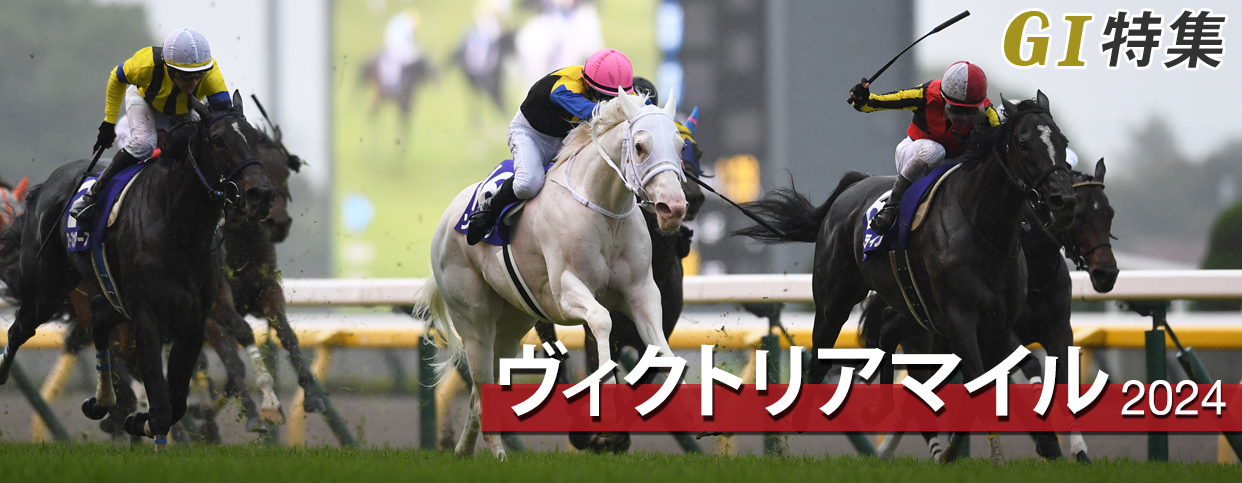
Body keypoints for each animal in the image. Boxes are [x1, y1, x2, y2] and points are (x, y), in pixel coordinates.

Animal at [0, 91, 276, 451]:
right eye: (217, 140)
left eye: (255, 139)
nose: (262, 195)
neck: (179, 229)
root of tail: (45, 186)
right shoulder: (148, 316)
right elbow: (161, 399)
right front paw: (147, 426)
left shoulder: (194, 320)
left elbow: (177, 400)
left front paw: (141, 421)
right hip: (46, 290)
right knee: (19, 330)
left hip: (110, 296)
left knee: (99, 320)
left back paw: (102, 401)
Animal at [419, 92, 688, 460]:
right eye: (640, 146)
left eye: (680, 146)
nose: (673, 208)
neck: (603, 209)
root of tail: (447, 219)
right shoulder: (565, 292)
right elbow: (602, 319)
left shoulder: (641, 292)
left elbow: (660, 345)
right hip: (474, 318)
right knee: (479, 382)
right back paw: (497, 453)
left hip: (512, 323)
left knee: (480, 391)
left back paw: (464, 450)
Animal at [736, 92, 1079, 463]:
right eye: (1024, 143)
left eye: (1063, 141)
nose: (1064, 200)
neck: (983, 230)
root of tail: (855, 186)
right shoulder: (960, 317)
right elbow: (977, 379)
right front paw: (983, 453)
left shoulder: (1000, 323)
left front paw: (1047, 444)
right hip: (835, 298)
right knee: (821, 348)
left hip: (911, 306)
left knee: (888, 332)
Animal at [863, 160, 1118, 462]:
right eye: (1078, 215)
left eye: (1109, 213)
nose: (1107, 273)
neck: (1037, 272)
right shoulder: (1003, 332)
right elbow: (1028, 366)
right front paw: (1046, 441)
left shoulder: (1058, 329)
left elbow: (1065, 376)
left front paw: (1079, 450)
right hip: (921, 334)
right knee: (909, 361)